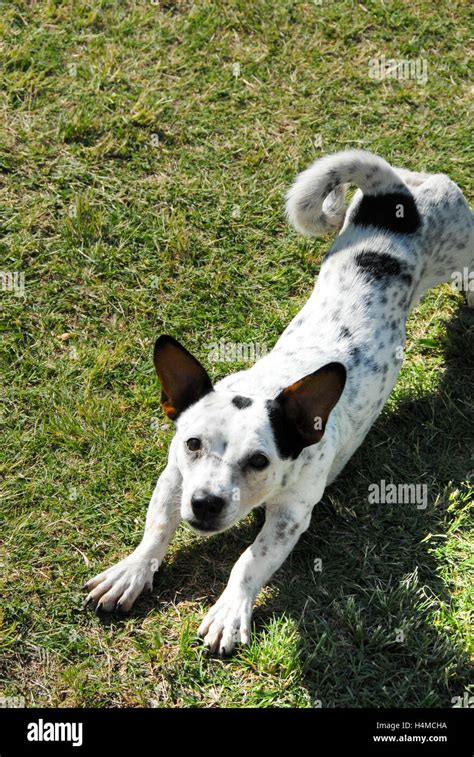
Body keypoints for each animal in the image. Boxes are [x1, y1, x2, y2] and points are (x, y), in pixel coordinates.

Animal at [83, 149, 472, 656]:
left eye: (258, 461)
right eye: (192, 444)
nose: (205, 503)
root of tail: (397, 194)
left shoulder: (291, 517)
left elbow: (250, 559)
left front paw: (230, 609)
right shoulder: (174, 478)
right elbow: (157, 527)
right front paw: (132, 572)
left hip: (466, 251)